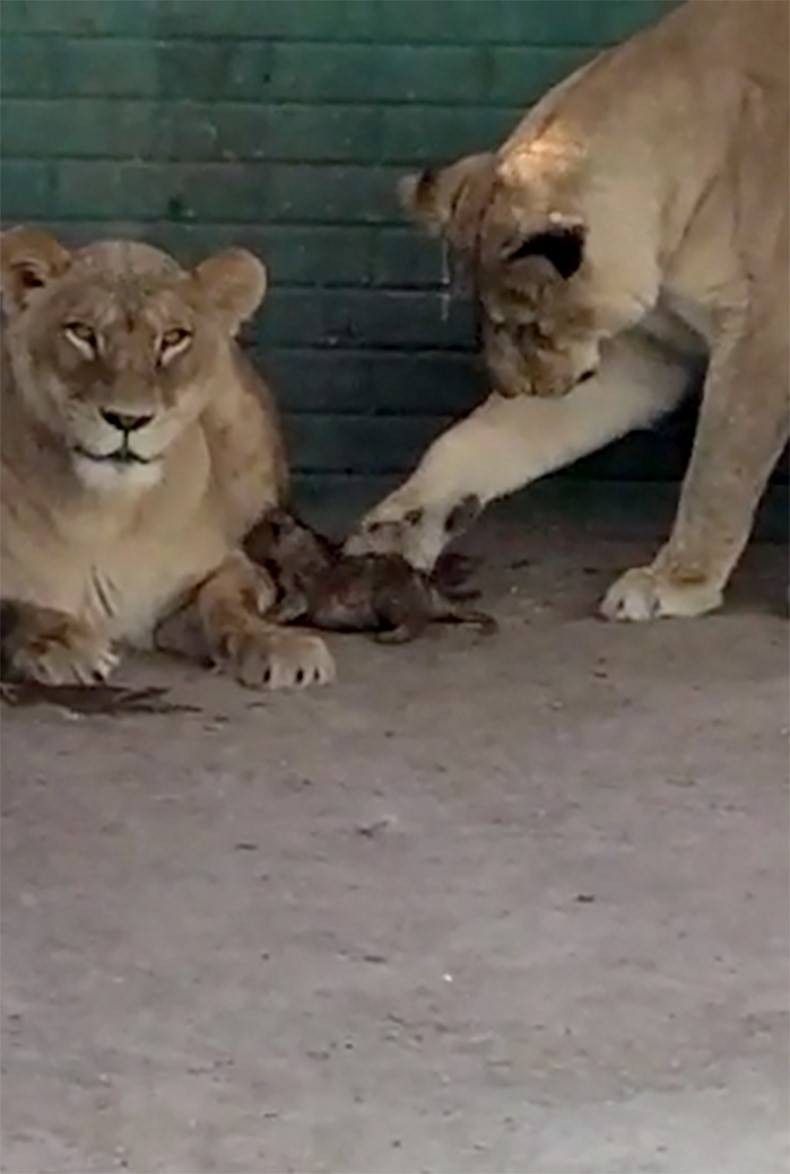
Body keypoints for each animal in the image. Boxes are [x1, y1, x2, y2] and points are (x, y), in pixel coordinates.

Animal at [0, 227, 335, 688]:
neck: (107, 515)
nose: (127, 419)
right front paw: (62, 643)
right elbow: (16, 609)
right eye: (82, 332)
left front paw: (278, 644)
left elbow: (228, 602)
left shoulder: (215, 570)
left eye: (174, 338)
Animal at [346, 0, 789, 622]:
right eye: (481, 318)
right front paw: (400, 523)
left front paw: (676, 581)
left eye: (528, 324)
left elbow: (720, 465)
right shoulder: (644, 355)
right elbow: (478, 440)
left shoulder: (763, 336)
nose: (516, 389)